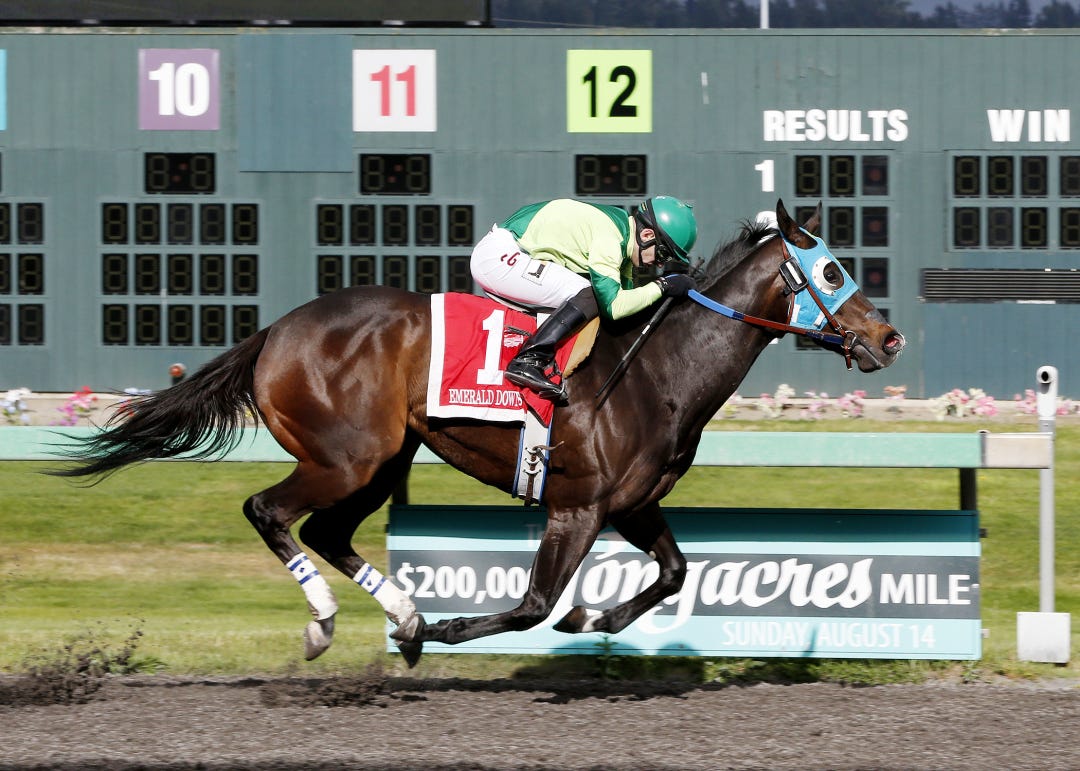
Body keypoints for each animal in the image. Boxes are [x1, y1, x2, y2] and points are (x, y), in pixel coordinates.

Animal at [55, 199, 905, 667]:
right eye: (833, 271)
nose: (889, 338)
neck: (657, 366)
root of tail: (277, 330)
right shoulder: (577, 505)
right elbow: (532, 604)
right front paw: (463, 623)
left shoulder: (632, 504)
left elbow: (673, 573)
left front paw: (593, 617)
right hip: (344, 456)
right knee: (269, 511)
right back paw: (331, 622)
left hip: (380, 459)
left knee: (325, 530)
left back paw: (401, 619)